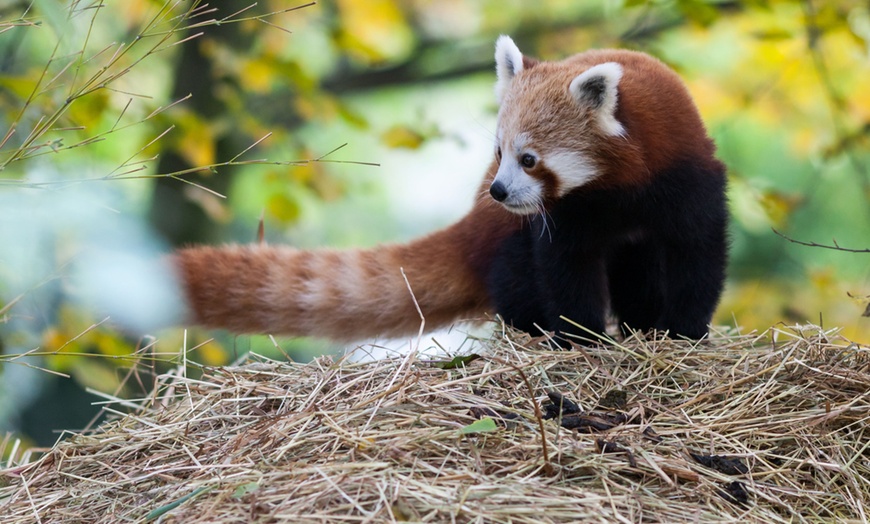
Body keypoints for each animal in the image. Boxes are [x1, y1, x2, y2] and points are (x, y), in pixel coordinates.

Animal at [172, 34, 728, 342]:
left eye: (529, 159)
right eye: (499, 154)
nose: (498, 193)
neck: (618, 189)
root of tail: (471, 223)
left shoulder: (685, 179)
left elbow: (696, 255)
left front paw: (683, 331)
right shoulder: (568, 215)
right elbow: (566, 269)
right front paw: (582, 337)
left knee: (638, 268)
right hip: (506, 243)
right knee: (519, 279)